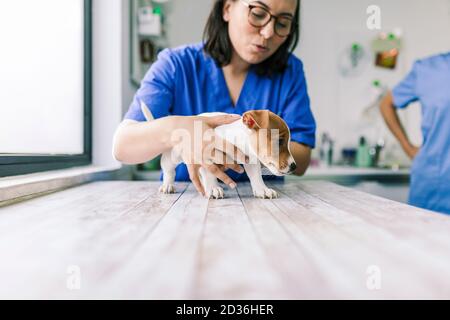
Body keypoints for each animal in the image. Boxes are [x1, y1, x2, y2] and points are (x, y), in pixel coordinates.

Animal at [139, 102, 298, 198]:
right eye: (279, 141)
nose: (294, 166)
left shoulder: (251, 160)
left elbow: (256, 177)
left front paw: (262, 190)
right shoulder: (205, 157)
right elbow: (210, 174)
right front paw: (213, 188)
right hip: (171, 158)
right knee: (169, 171)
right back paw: (167, 185)